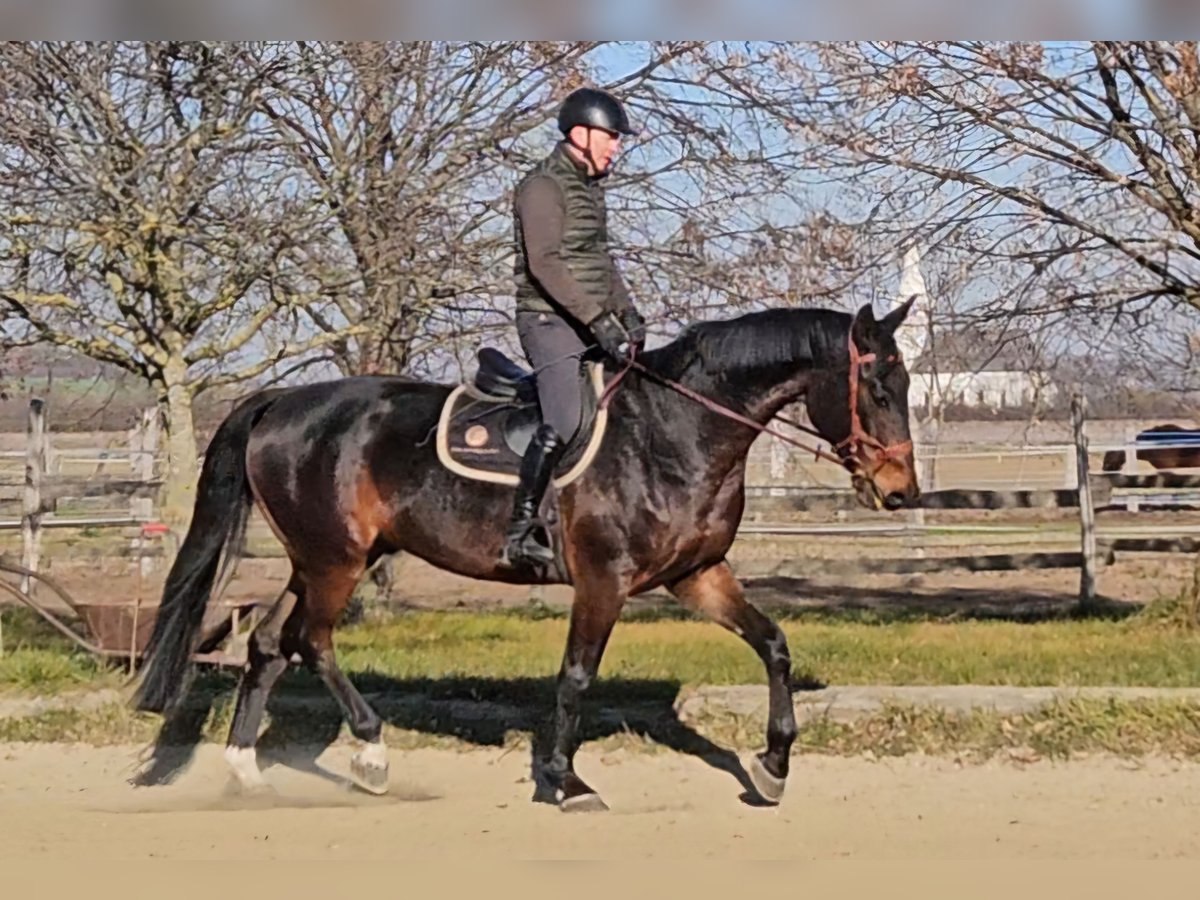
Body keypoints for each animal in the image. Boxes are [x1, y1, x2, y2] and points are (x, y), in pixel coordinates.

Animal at [131, 300, 916, 816]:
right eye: (879, 389)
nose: (900, 491)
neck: (674, 431)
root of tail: (282, 400)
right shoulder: (604, 582)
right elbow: (575, 677)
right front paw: (566, 782)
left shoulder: (696, 577)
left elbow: (774, 644)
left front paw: (774, 765)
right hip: (335, 561)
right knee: (312, 640)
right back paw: (372, 754)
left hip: (317, 558)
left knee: (269, 642)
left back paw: (246, 772)